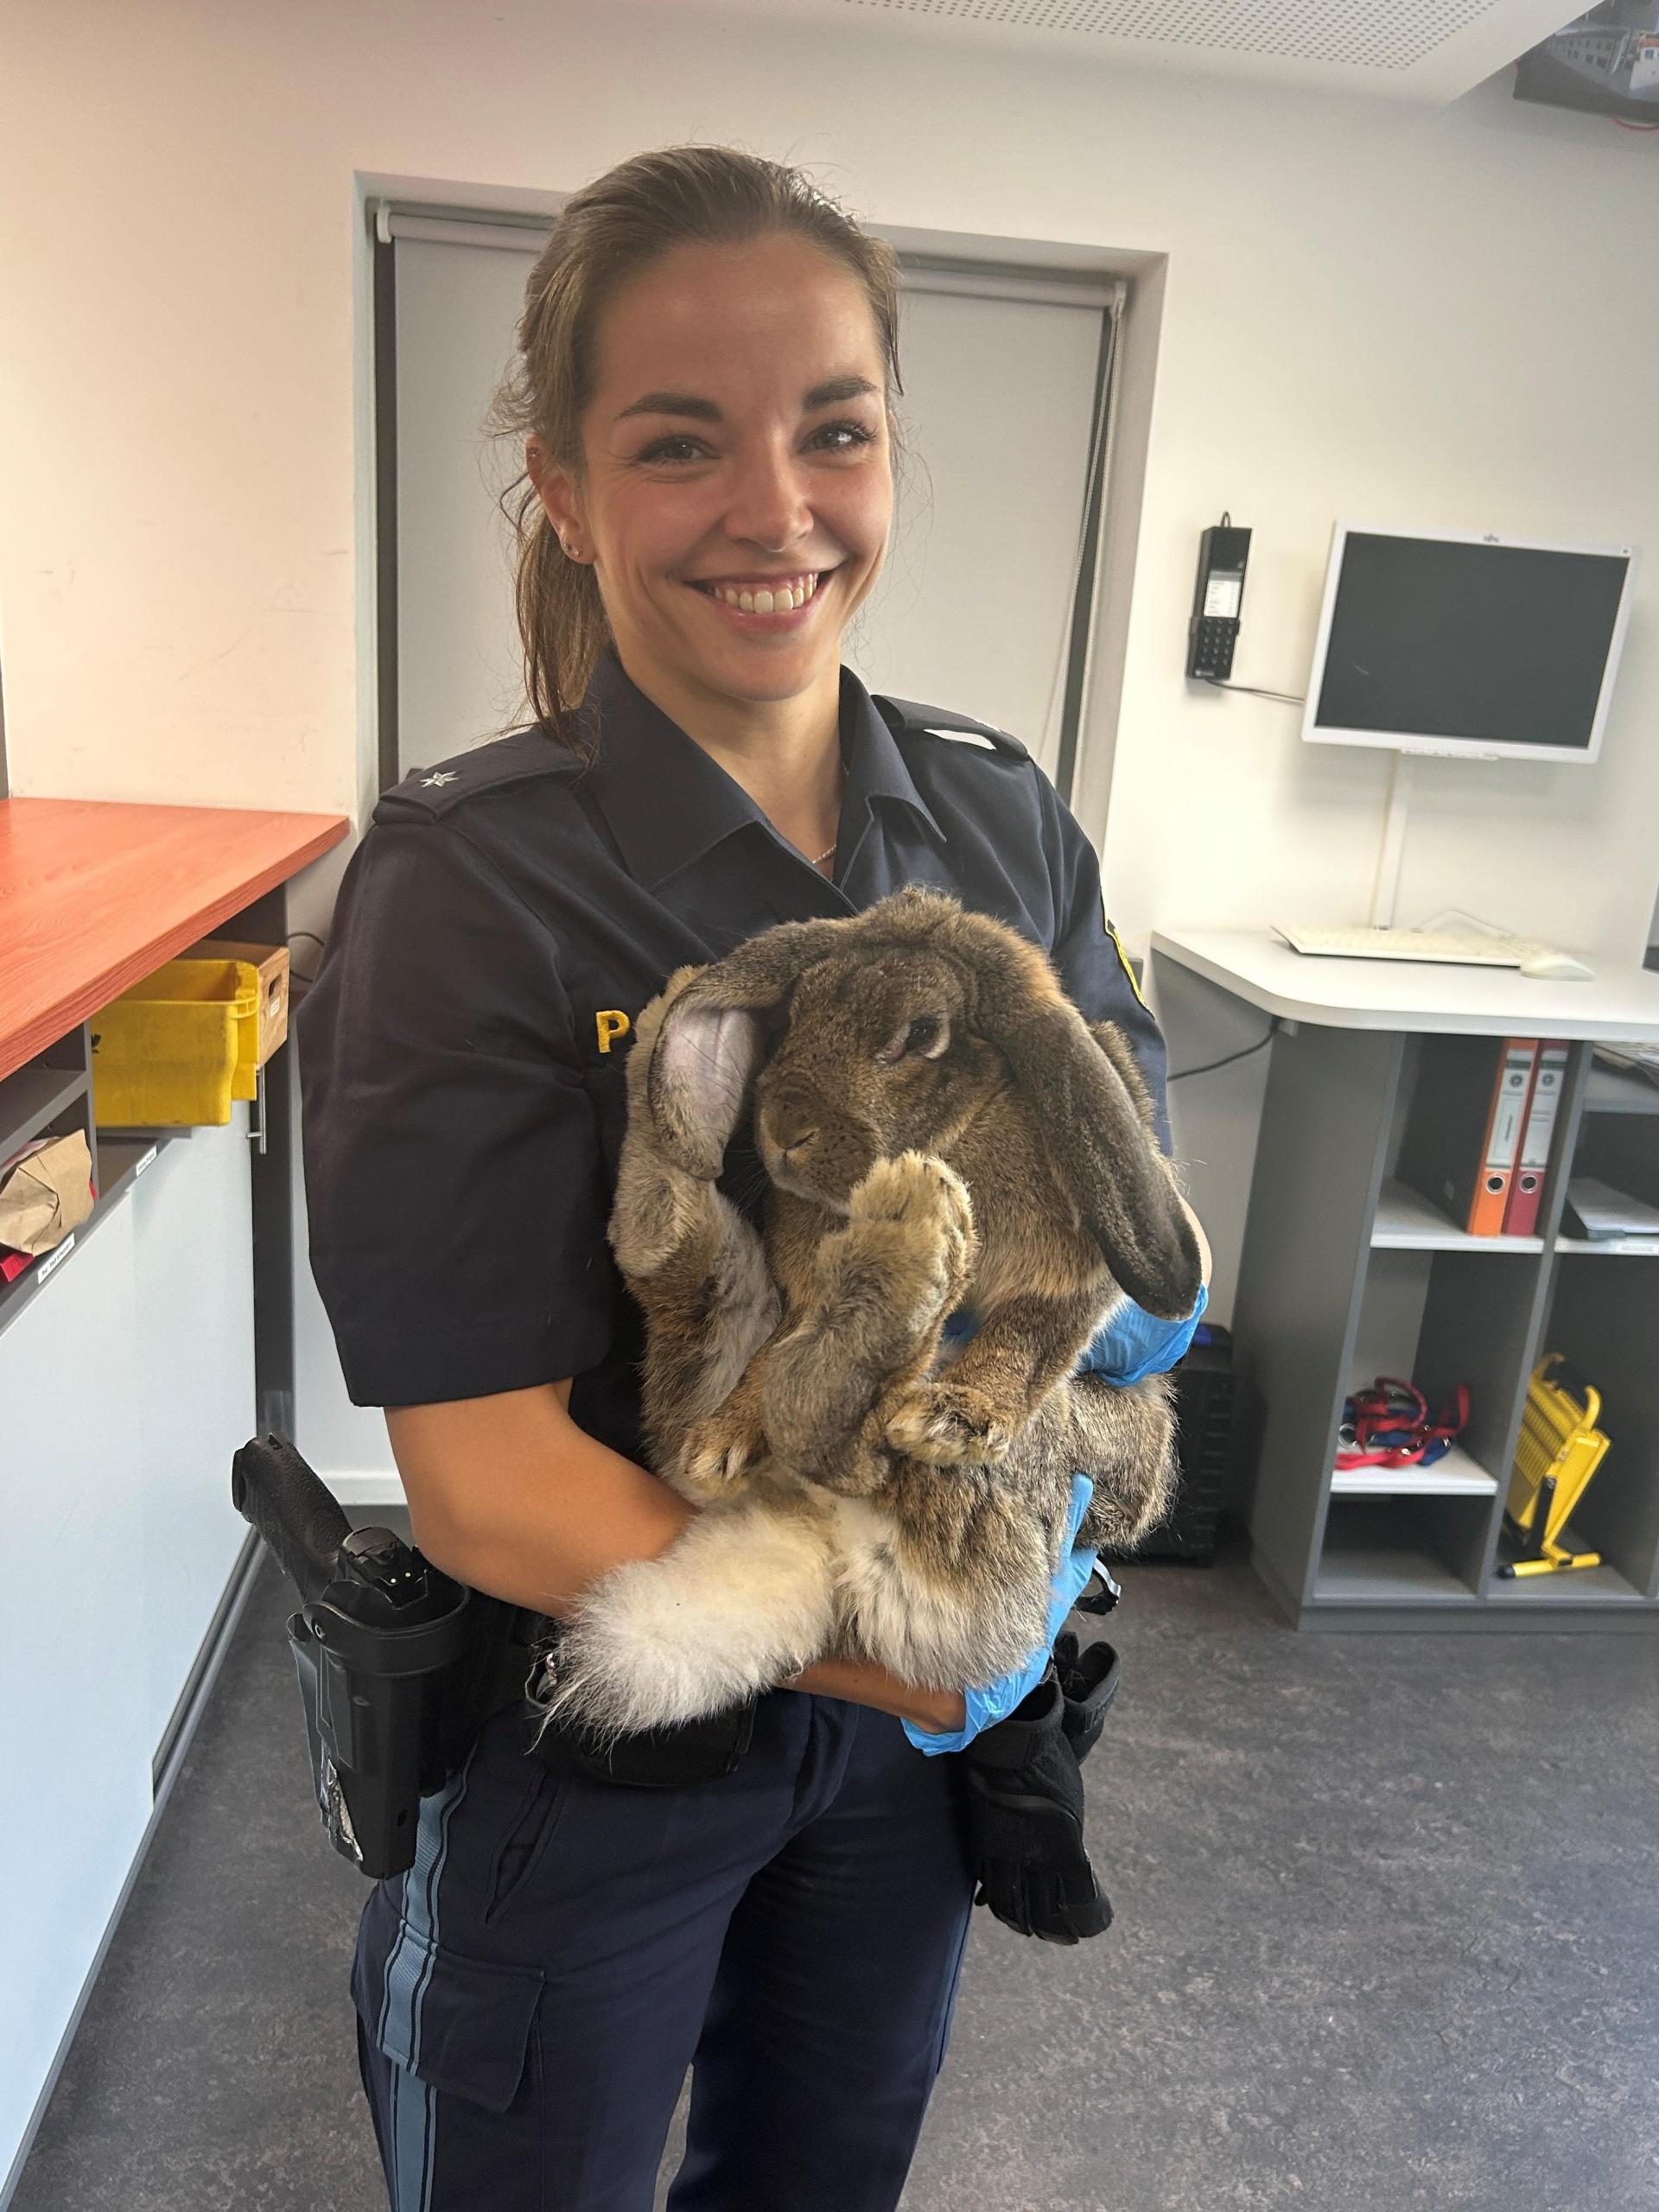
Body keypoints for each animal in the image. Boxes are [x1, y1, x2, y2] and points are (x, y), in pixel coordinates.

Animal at [541, 887, 1204, 1737]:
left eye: (921, 1034)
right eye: (798, 1010)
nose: (783, 1126)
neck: (958, 1129)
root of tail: (819, 1547)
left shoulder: (1067, 1285)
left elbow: (1029, 1336)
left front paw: (963, 1409)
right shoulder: (798, 1293)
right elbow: (779, 1348)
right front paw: (731, 1428)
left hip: (1038, 1465)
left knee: (860, 1451)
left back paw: (910, 1255)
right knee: (686, 1274)